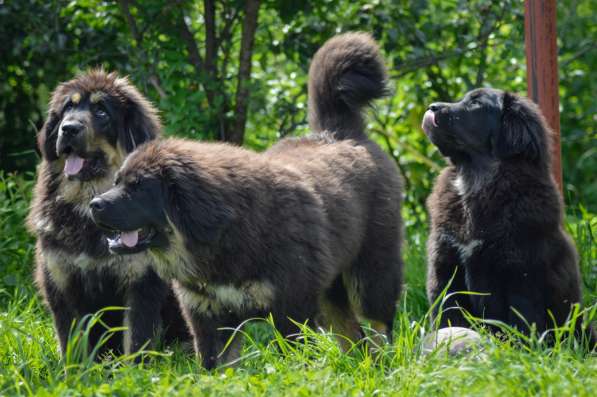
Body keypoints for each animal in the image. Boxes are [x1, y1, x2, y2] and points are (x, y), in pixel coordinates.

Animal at [25, 69, 187, 358]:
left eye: (101, 111)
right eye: (68, 108)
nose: (68, 128)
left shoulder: (140, 283)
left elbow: (135, 340)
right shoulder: (61, 280)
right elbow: (72, 343)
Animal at [89, 32, 406, 366]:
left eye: (138, 188)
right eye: (117, 181)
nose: (95, 205)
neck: (225, 233)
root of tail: (339, 133)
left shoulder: (290, 308)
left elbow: (293, 358)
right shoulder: (208, 314)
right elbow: (213, 365)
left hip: (369, 274)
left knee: (377, 325)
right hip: (329, 290)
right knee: (352, 335)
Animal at [422, 87, 592, 346]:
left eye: (476, 104)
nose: (432, 107)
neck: (475, 180)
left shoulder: (520, 269)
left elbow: (522, 317)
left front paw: (521, 348)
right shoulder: (445, 263)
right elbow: (448, 311)